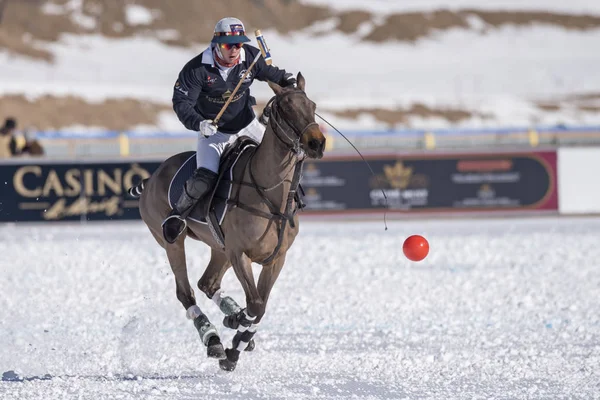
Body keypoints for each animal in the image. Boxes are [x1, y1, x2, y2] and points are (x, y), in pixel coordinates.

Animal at [131, 72, 326, 372]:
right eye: (286, 108)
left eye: (313, 105)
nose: (317, 143)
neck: (269, 192)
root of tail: (151, 177)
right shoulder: (239, 253)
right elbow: (255, 305)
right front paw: (235, 335)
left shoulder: (275, 258)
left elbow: (261, 306)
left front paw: (238, 337)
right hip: (171, 240)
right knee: (185, 291)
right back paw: (212, 339)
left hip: (218, 246)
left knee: (207, 283)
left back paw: (230, 320)